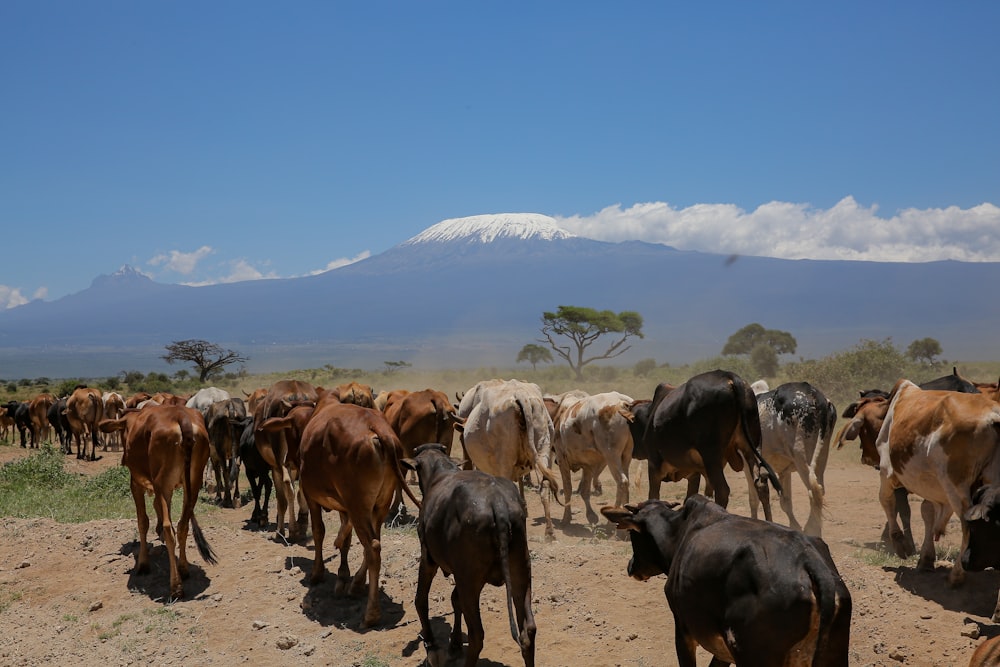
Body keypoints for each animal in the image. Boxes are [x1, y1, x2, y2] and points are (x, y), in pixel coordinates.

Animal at [99, 404, 217, 604]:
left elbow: (142, 521)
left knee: (171, 529)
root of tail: (181, 416)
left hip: (163, 484)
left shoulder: (136, 482)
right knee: (182, 525)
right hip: (192, 483)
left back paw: (176, 587)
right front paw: (158, 531)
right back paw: (183, 570)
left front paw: (143, 564)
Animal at [402, 444, 536, 667]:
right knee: (528, 631)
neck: (440, 472)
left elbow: (421, 599)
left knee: (477, 635)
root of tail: (498, 503)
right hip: (519, 575)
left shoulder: (428, 558)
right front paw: (454, 643)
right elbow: (454, 600)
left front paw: (431, 640)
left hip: (470, 581)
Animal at [600, 496, 852, 667]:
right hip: (833, 654)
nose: (631, 566)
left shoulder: (684, 629)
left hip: (753, 656)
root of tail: (809, 561)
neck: (679, 532)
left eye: (633, 535)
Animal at [632, 374, 780, 520]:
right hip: (752, 447)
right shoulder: (696, 473)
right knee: (761, 485)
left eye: (632, 423)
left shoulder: (654, 465)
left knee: (723, 490)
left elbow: (654, 497)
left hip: (711, 456)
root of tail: (731, 378)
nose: (634, 452)